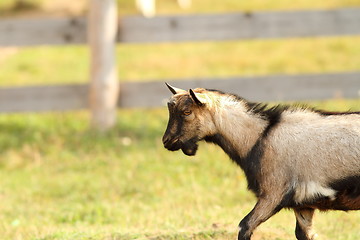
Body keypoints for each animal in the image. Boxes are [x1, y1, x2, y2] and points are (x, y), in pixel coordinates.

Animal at [162, 83, 360, 240]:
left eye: (187, 112)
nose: (167, 141)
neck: (259, 136)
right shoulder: (303, 205)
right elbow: (304, 234)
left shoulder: (272, 194)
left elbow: (245, 226)